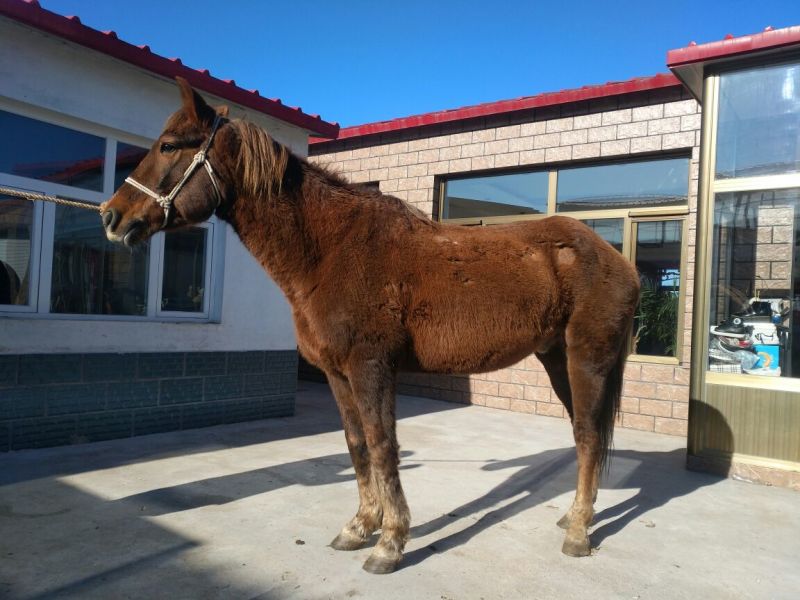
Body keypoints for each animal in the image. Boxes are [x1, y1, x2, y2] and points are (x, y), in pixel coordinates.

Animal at [101, 77, 640, 574]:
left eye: (169, 145)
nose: (112, 215)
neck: (331, 249)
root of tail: (616, 258)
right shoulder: (338, 374)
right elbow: (357, 446)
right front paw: (360, 527)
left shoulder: (371, 367)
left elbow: (383, 447)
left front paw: (390, 542)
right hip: (556, 359)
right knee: (583, 434)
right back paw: (575, 515)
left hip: (585, 359)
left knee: (588, 436)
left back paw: (577, 533)